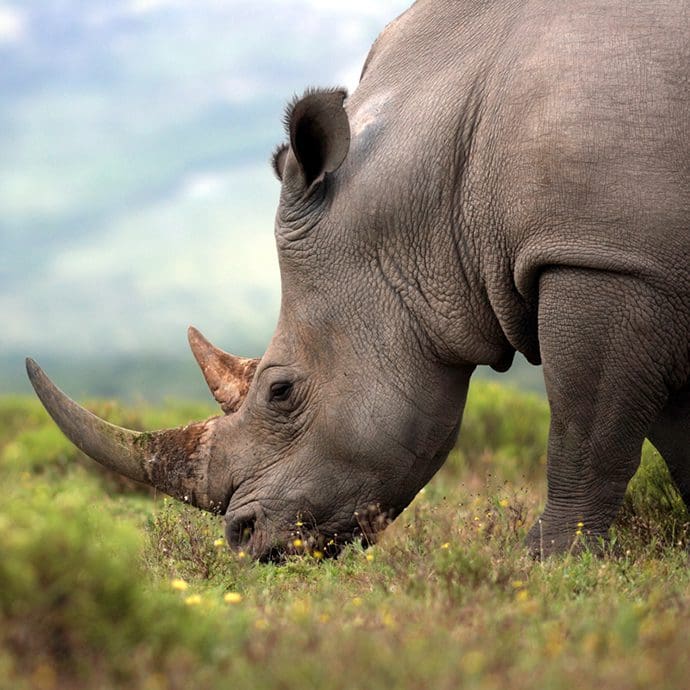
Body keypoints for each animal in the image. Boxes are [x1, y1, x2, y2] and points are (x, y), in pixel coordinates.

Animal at [24, 0, 684, 560]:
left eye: (280, 391)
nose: (241, 539)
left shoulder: (600, 256)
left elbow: (585, 428)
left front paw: (550, 564)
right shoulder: (652, 270)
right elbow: (675, 435)